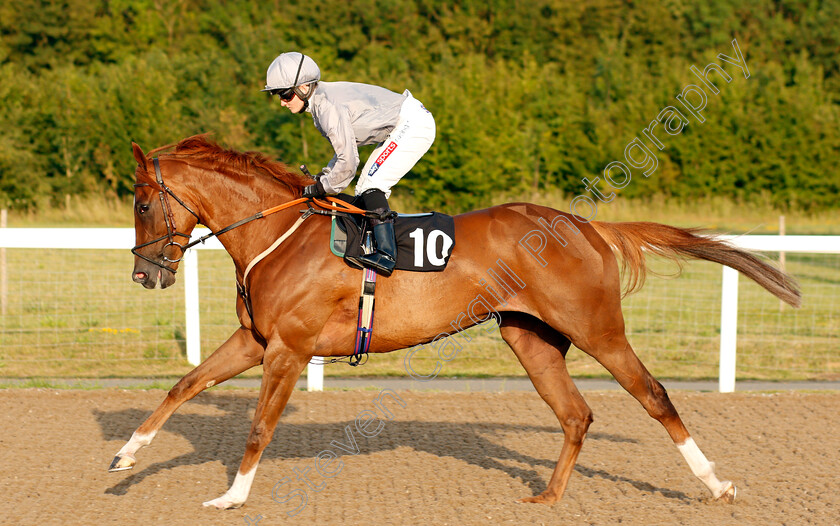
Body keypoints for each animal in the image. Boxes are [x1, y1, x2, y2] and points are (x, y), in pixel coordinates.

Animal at [113, 136, 800, 512]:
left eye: (143, 203)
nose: (145, 275)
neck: (277, 234)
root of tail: (586, 224)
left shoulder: (288, 348)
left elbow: (258, 425)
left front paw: (233, 496)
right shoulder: (256, 340)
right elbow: (184, 384)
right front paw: (125, 456)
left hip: (598, 329)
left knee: (653, 396)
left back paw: (716, 485)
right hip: (528, 336)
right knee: (576, 414)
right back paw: (549, 497)